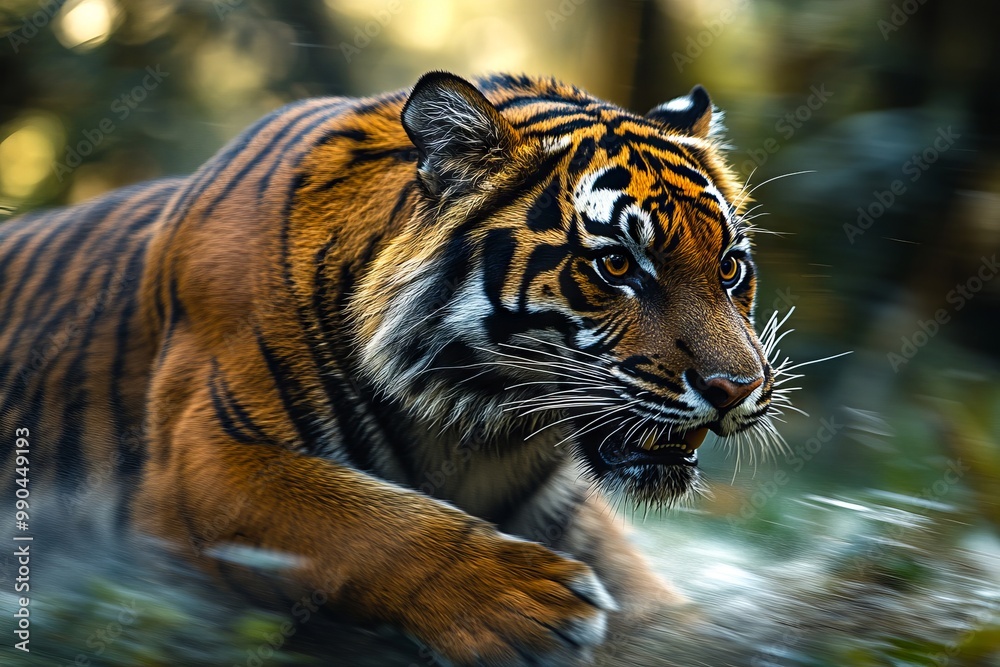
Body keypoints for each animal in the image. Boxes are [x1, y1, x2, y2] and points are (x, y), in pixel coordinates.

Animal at [0, 71, 780, 665]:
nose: (739, 389)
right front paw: (537, 605)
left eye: (730, 267)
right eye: (616, 264)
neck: (477, 427)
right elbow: (366, 522)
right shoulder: (202, 457)